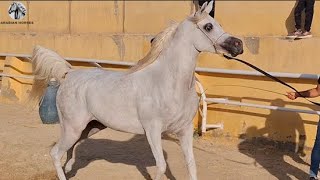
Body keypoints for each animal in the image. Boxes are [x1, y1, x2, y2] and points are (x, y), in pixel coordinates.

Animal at [29, 1, 242, 180]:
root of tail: (70, 73)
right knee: (55, 153)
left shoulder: (185, 130)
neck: (169, 83)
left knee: (68, 152)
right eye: (208, 26)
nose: (238, 45)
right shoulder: (153, 131)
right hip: (73, 128)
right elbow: (161, 166)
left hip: (89, 128)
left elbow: (191, 164)